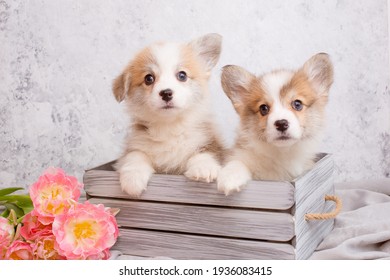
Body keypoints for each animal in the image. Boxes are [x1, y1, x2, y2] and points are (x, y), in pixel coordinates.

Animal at [112, 34, 222, 198]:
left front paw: (204, 168)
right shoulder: (135, 146)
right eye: (149, 78)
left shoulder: (209, 142)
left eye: (182, 75)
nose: (166, 93)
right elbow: (135, 155)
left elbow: (204, 153)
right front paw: (132, 179)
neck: (170, 126)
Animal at [218, 53, 334, 196]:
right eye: (263, 108)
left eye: (297, 104)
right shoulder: (240, 155)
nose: (281, 123)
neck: (282, 153)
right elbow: (237, 162)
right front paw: (229, 178)